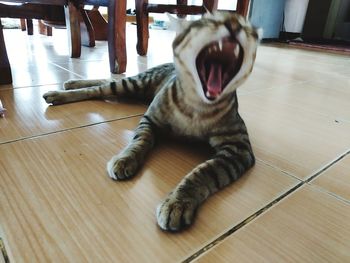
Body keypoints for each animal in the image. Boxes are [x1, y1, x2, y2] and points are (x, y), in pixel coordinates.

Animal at [42, 11, 262, 232]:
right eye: (206, 21)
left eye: (246, 25)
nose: (233, 24)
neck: (196, 106)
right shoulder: (150, 119)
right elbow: (140, 141)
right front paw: (126, 159)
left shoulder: (238, 148)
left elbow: (204, 172)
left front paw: (178, 202)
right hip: (134, 84)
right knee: (102, 88)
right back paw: (63, 91)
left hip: (135, 91)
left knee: (106, 82)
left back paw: (69, 85)